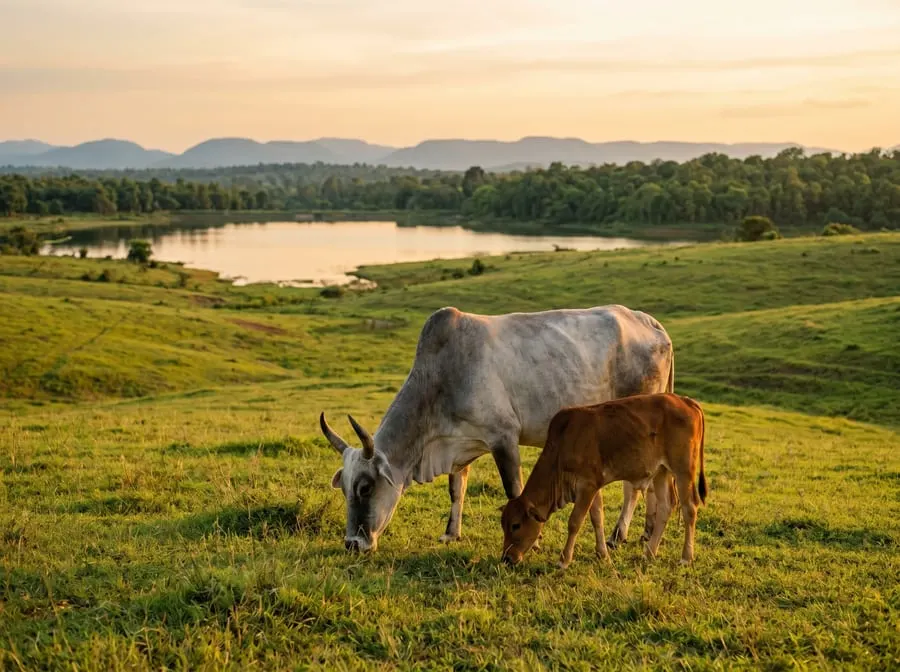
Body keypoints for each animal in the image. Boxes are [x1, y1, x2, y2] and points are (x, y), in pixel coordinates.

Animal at [319, 304, 675, 553]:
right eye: (344, 488)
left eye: (365, 488)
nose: (352, 543)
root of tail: (651, 324)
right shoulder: (461, 443)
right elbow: (456, 488)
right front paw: (451, 533)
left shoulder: (504, 437)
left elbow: (513, 489)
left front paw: (532, 540)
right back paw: (645, 531)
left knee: (634, 486)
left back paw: (619, 534)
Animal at [499, 393, 707, 568]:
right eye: (504, 525)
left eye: (516, 525)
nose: (506, 558)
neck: (562, 446)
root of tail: (686, 401)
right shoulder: (593, 486)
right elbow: (597, 518)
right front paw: (603, 554)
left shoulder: (587, 485)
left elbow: (575, 522)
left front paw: (564, 560)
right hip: (661, 471)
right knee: (665, 506)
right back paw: (649, 552)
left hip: (683, 470)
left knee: (689, 508)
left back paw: (686, 557)